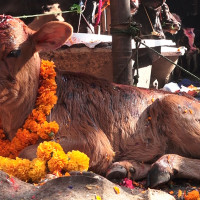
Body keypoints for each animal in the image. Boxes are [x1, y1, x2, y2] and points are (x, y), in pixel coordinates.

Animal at [0, 14, 200, 188]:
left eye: (15, 51)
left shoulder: (92, 142)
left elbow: (25, 151)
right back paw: (126, 168)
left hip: (173, 106)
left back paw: (164, 167)